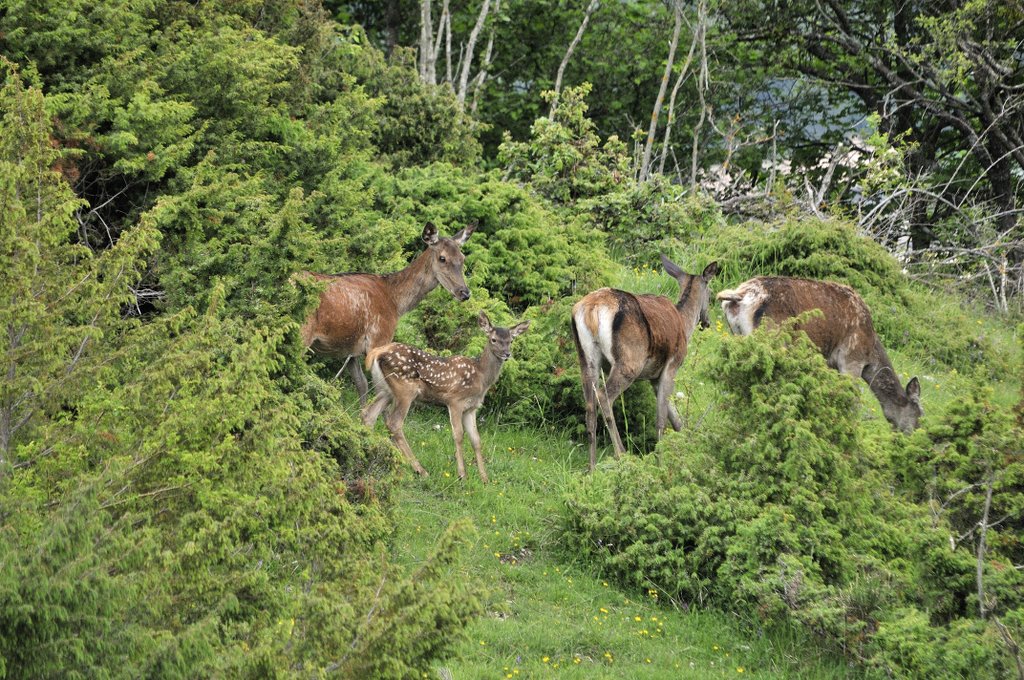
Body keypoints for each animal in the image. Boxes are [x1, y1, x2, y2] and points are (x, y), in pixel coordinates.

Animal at [299, 223, 475, 403]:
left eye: (462, 258)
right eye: (442, 258)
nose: (464, 292)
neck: (396, 303)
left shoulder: (350, 348)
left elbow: (362, 384)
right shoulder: (379, 338)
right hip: (303, 333)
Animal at [362, 311, 528, 481]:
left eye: (511, 340)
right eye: (493, 339)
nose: (507, 354)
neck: (481, 377)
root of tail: (376, 353)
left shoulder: (471, 408)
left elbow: (476, 439)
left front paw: (484, 478)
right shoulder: (455, 401)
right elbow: (458, 435)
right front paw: (462, 474)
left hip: (385, 390)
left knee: (369, 413)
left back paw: (370, 449)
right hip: (405, 389)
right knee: (394, 423)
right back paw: (420, 470)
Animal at [569, 251, 720, 471]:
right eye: (710, 293)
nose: (706, 322)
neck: (684, 324)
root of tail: (591, 309)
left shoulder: (653, 377)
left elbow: (675, 418)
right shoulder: (671, 366)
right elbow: (662, 419)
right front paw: (661, 461)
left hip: (585, 358)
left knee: (589, 404)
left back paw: (592, 466)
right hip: (629, 362)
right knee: (604, 397)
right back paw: (621, 454)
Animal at [716, 274, 925, 430]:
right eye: (919, 413)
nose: (917, 434)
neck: (871, 352)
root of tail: (740, 295)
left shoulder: (830, 363)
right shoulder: (851, 359)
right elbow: (852, 399)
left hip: (737, 335)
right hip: (773, 338)